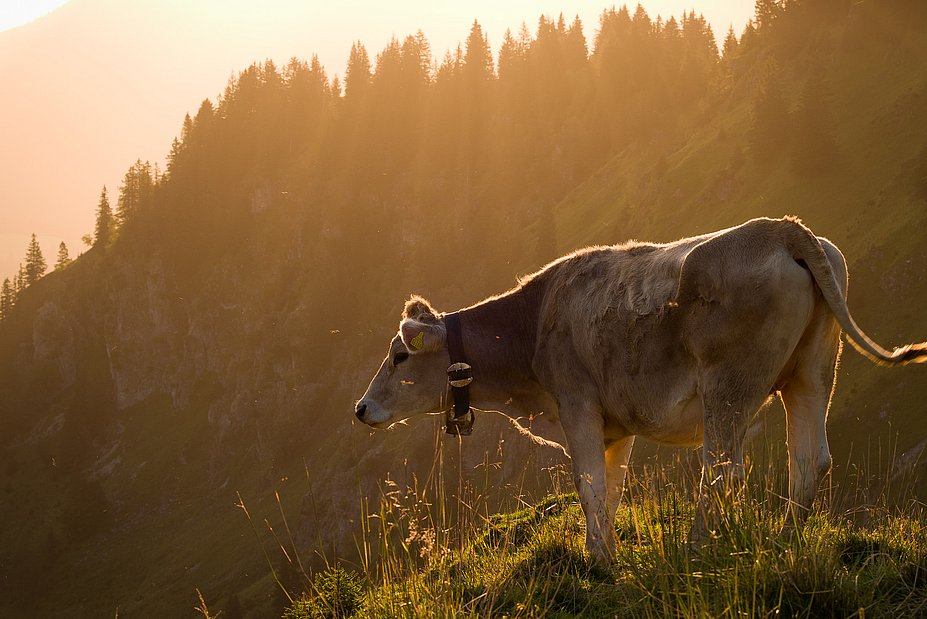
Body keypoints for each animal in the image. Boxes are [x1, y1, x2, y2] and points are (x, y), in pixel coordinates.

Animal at [352, 218, 924, 568]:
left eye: (399, 356)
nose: (361, 408)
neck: (531, 327)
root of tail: (780, 227)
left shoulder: (577, 405)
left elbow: (588, 487)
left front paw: (599, 561)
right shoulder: (616, 426)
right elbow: (611, 488)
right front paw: (602, 550)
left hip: (729, 386)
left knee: (724, 469)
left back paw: (698, 549)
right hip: (811, 373)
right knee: (809, 459)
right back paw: (786, 540)